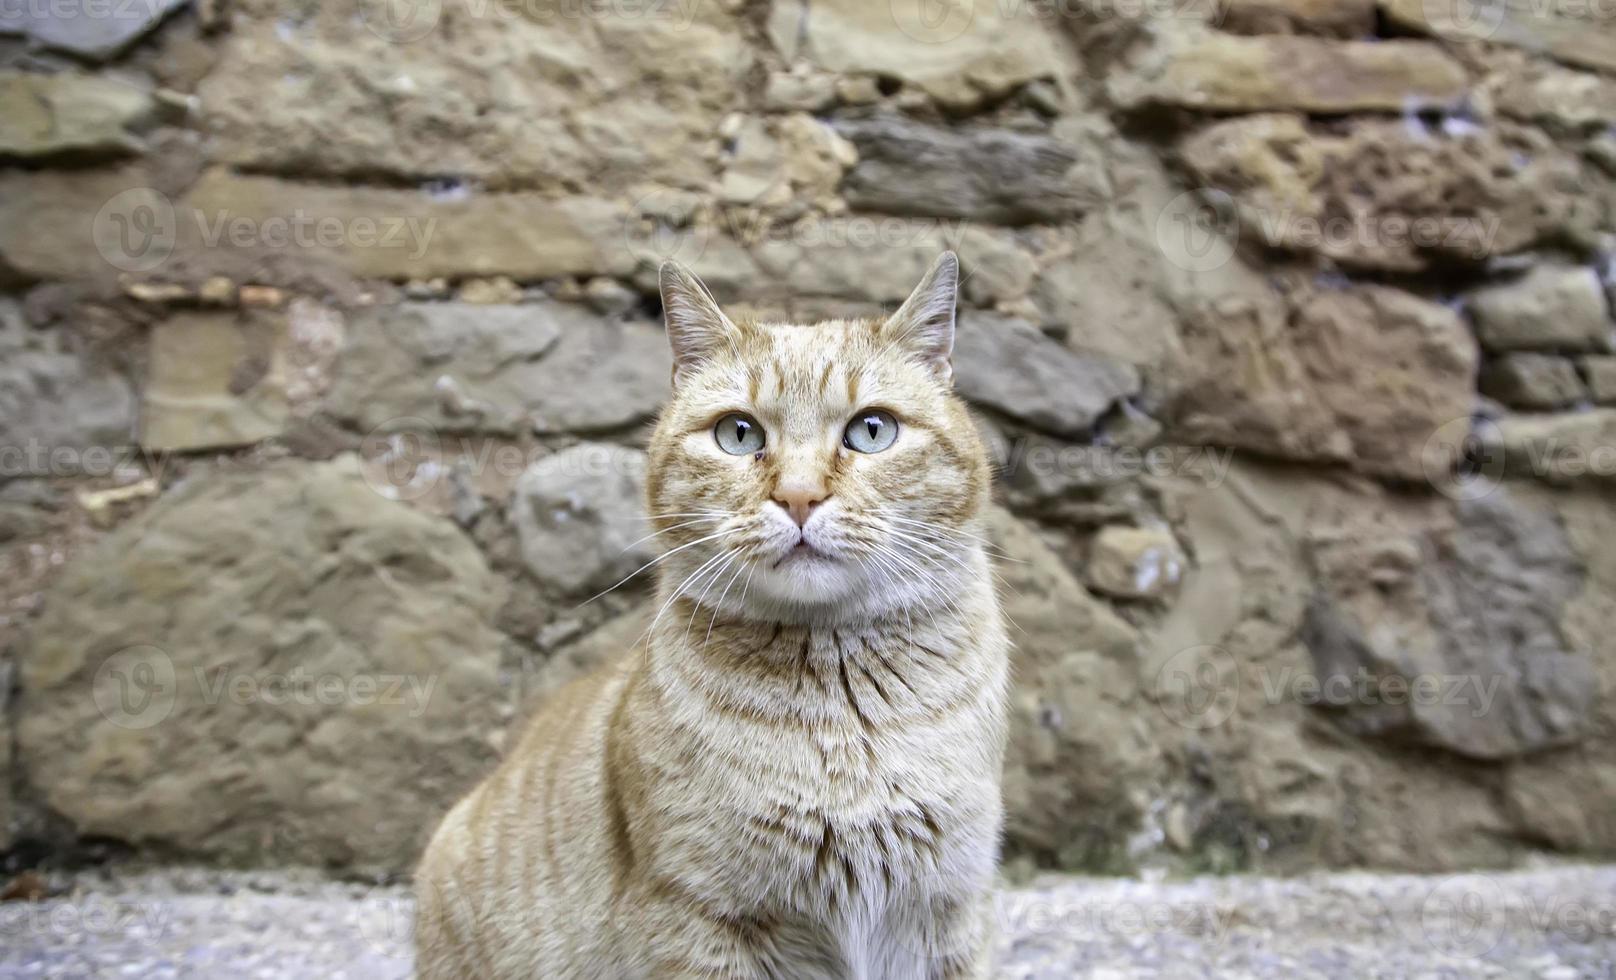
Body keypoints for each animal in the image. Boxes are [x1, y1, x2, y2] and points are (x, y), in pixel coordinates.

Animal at [420, 255, 1008, 980]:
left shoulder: (949, 913)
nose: (799, 496)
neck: (842, 717)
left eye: (872, 430)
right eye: (738, 433)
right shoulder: (702, 921)